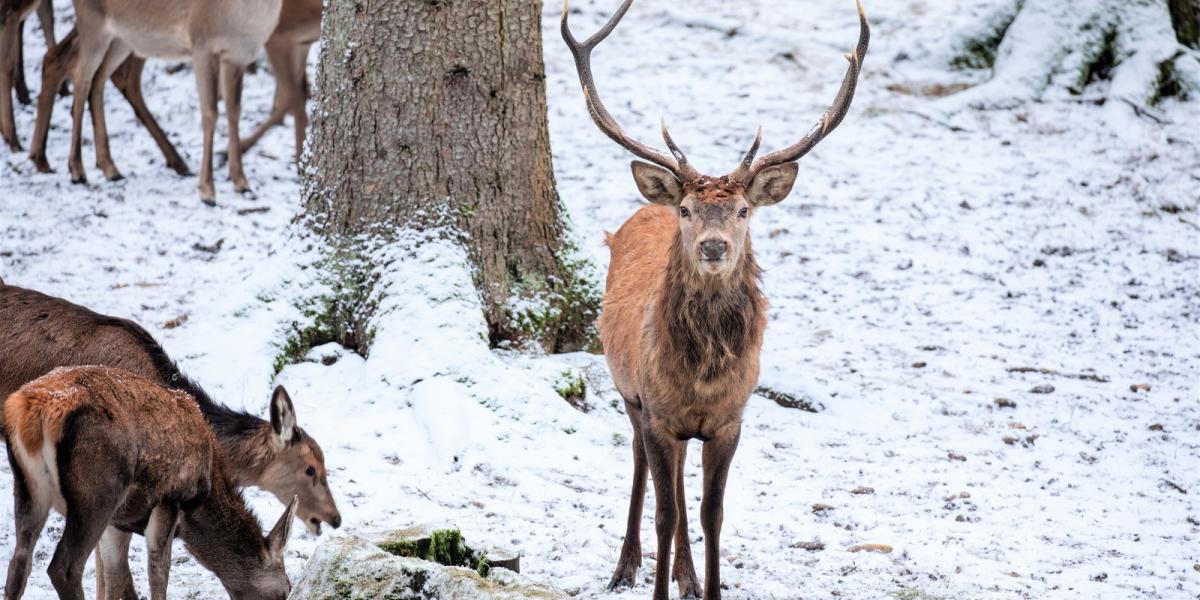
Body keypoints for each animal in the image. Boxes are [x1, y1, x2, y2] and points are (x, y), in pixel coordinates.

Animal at [4, 362, 295, 600]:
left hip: (30, 488)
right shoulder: (171, 498)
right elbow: (158, 571)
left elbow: (115, 574)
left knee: (18, 564)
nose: (288, 588)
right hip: (97, 493)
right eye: (287, 589)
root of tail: (33, 410)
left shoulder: (118, 520)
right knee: (64, 568)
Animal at [69, 0, 282, 204]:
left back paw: (110, 169)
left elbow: (234, 112)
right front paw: (207, 192)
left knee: (99, 80)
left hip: (122, 38)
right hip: (92, 23)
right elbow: (210, 113)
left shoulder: (236, 57)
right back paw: (77, 170)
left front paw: (241, 182)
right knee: (81, 79)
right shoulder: (202, 45)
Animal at [556, 2, 868, 597]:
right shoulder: (656, 412)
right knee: (642, 468)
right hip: (628, 392)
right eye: (687, 211)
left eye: (744, 210)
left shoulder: (728, 419)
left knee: (681, 487)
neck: (701, 377)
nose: (714, 245)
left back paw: (688, 576)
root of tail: (643, 207)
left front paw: (709, 584)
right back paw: (626, 566)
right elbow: (666, 512)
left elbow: (710, 513)